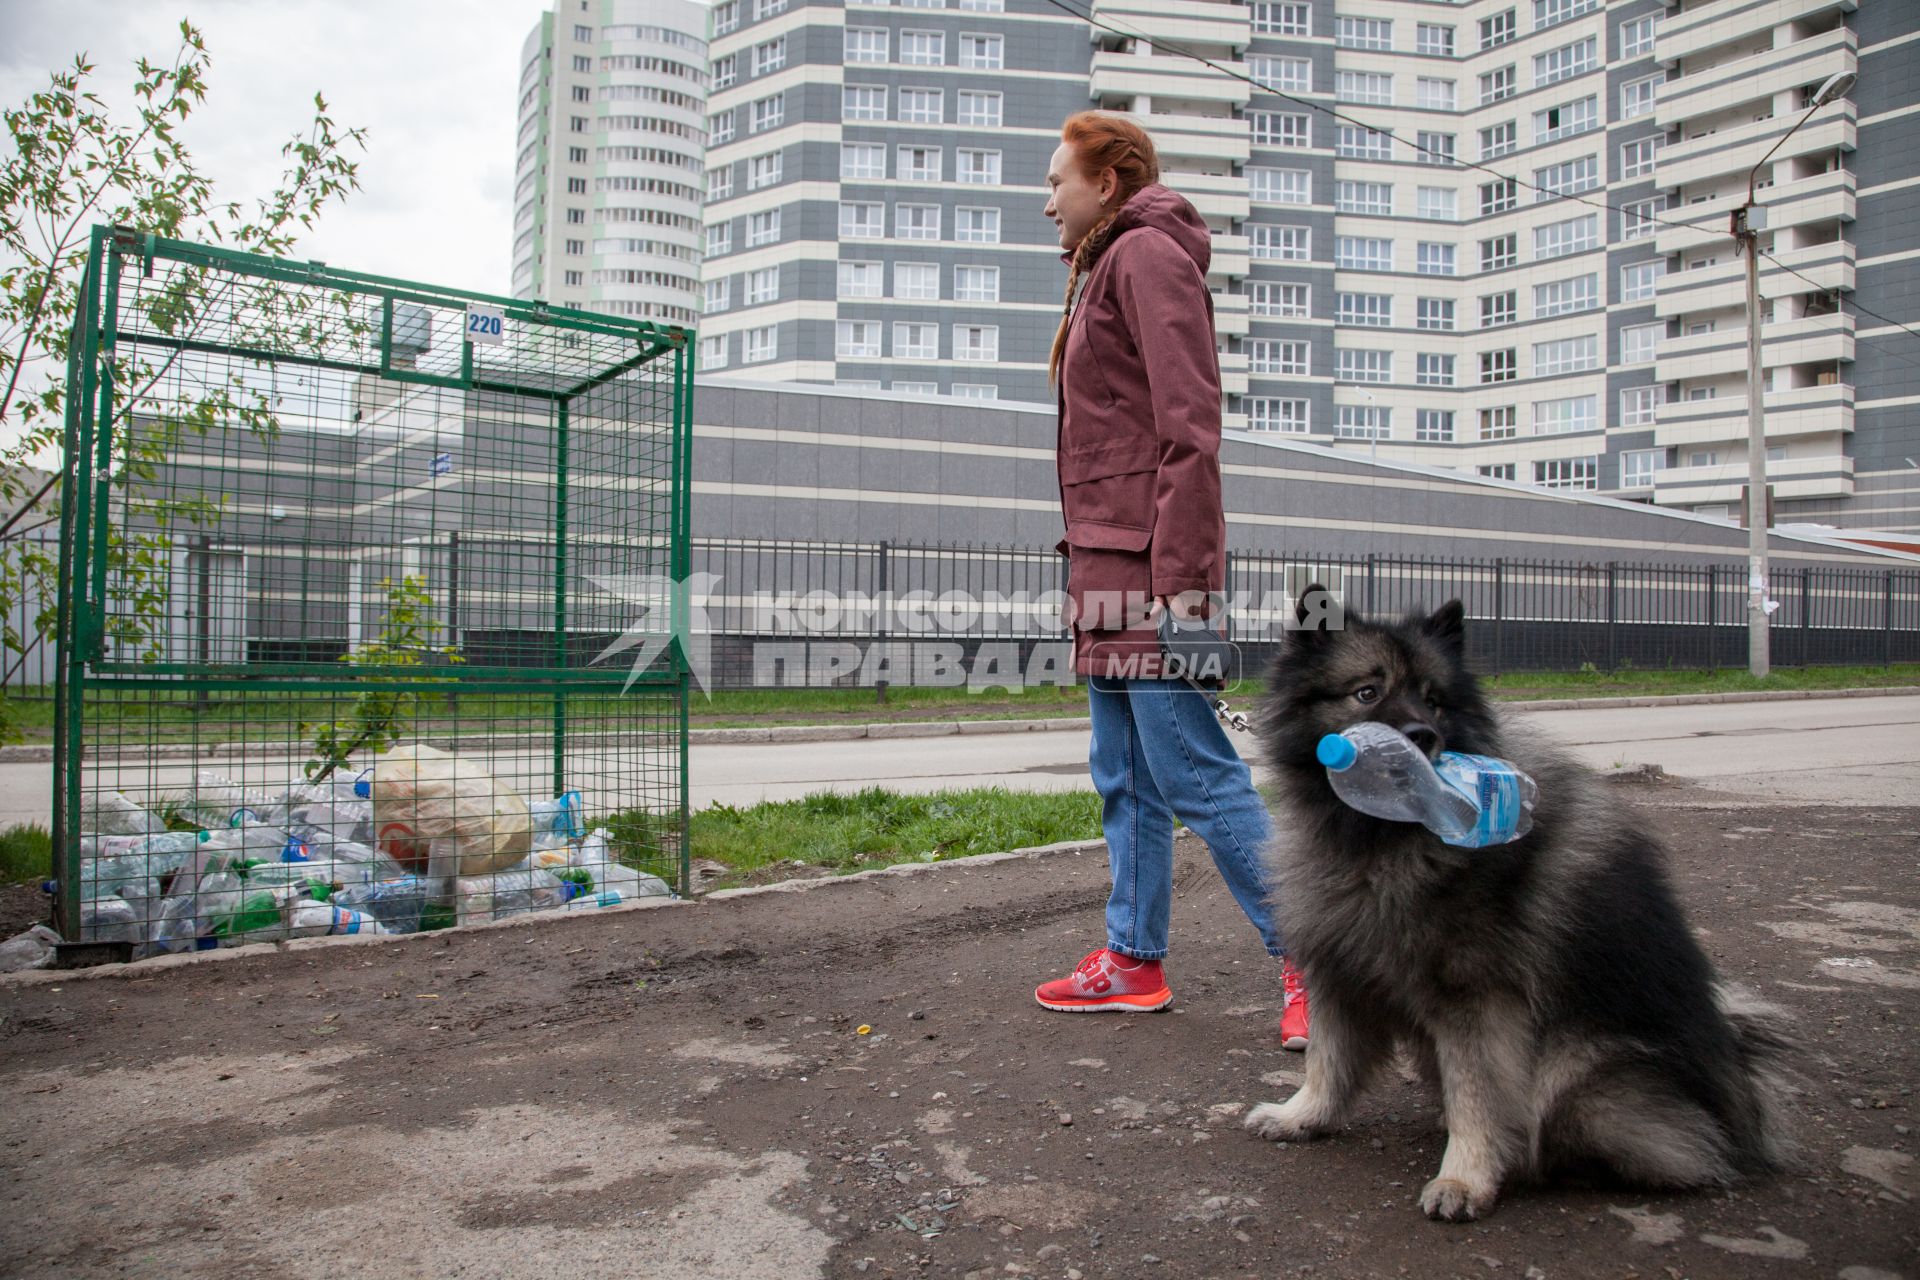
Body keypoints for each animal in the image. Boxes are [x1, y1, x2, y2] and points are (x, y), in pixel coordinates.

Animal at [1244, 594, 1797, 1228]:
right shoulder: (1341, 969)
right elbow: (1329, 1064)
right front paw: (1300, 1118)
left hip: (1575, 1070)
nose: (1423, 735)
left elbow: (1476, 1095)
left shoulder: (1477, 999)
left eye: (1434, 699)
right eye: (1366, 692)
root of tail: (1736, 1097)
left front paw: (1464, 1178)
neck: (1382, 838)